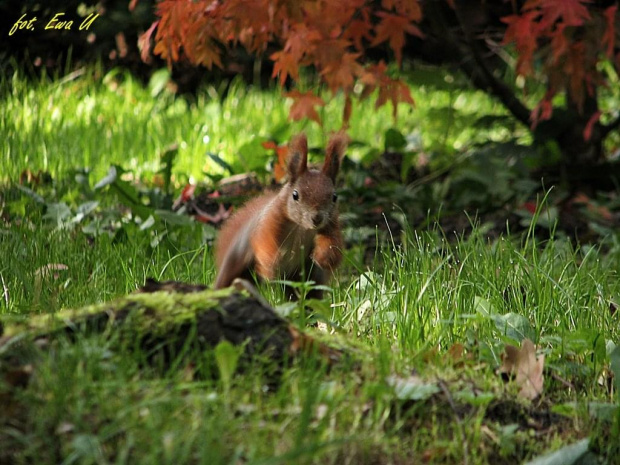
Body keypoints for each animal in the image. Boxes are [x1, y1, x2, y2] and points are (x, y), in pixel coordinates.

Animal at [214, 132, 346, 296]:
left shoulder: (331, 225)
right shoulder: (270, 219)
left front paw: (324, 257)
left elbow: (334, 245)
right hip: (235, 262)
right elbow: (264, 241)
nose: (316, 218)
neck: (302, 227)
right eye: (295, 195)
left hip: (307, 279)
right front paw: (271, 264)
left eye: (335, 197)